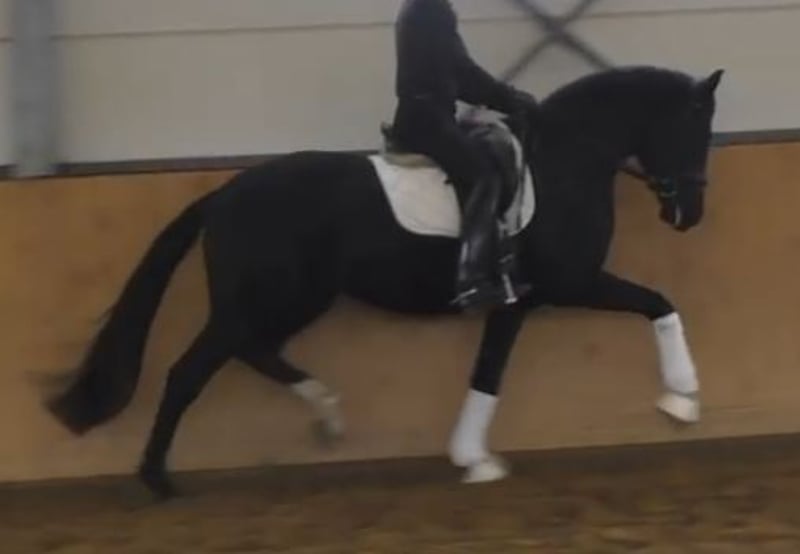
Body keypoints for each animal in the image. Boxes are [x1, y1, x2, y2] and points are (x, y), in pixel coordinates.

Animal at [44, 65, 724, 500]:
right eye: (696, 129)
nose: (689, 215)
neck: (564, 162)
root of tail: (226, 194)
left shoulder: (515, 304)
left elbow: (487, 374)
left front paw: (473, 459)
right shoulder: (573, 281)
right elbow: (659, 302)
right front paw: (683, 398)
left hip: (292, 301)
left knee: (253, 352)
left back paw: (324, 412)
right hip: (265, 299)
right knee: (192, 371)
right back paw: (158, 478)